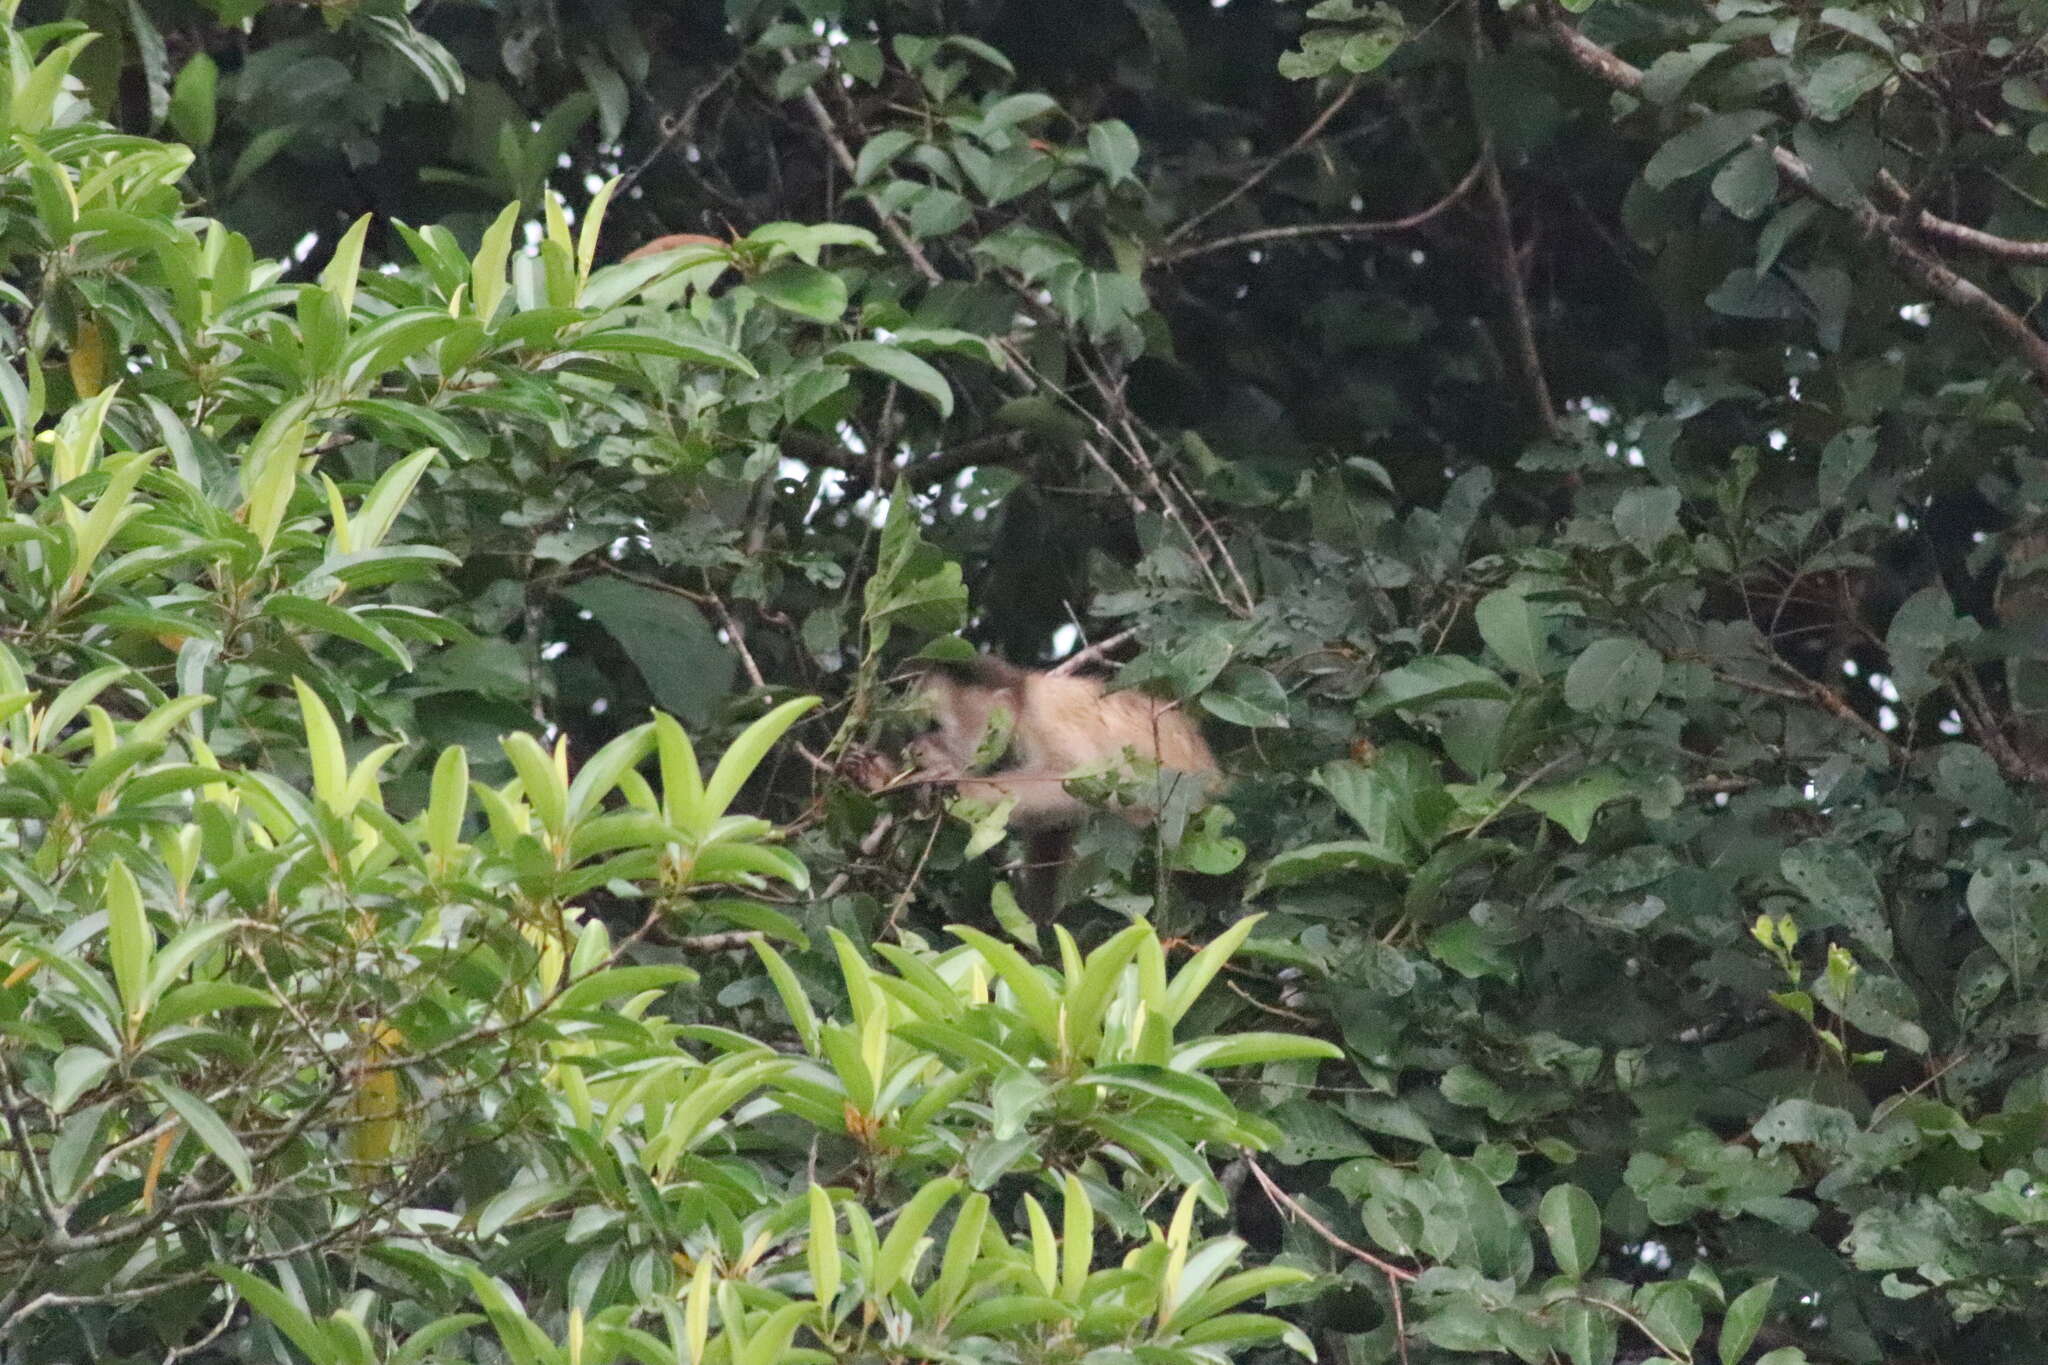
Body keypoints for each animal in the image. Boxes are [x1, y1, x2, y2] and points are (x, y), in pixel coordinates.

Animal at [909, 658, 1212, 916]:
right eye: (920, 726)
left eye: (935, 726)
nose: (915, 748)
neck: (1024, 700)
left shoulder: (1044, 721)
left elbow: (1085, 785)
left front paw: (957, 784)